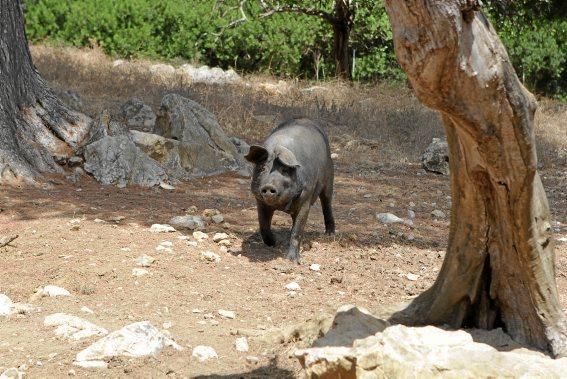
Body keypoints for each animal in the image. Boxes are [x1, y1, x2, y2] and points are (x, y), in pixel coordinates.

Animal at [246, 120, 336, 262]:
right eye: (262, 168)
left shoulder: (306, 198)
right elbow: (263, 225)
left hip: (329, 178)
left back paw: (329, 234)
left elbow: (297, 231)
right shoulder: (260, 201)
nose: (268, 186)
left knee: (327, 203)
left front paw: (292, 260)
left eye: (284, 170)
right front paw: (273, 243)